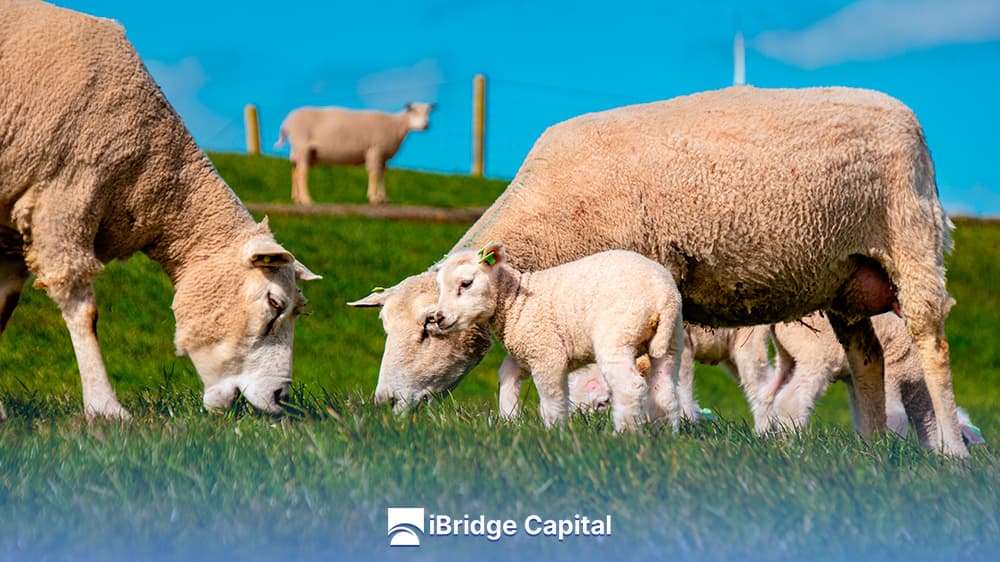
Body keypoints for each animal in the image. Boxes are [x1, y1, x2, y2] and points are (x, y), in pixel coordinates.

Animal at [0, 0, 320, 419]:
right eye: (274, 305)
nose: (280, 397)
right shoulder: (62, 196)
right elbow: (83, 309)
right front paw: (106, 408)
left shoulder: (11, 231)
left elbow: (3, 306)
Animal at [275, 102, 434, 205]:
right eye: (414, 111)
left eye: (428, 112)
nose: (426, 125)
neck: (396, 126)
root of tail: (286, 122)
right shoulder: (374, 150)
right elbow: (374, 173)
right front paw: (373, 198)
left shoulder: (382, 156)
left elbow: (382, 174)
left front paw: (384, 198)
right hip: (302, 145)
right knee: (302, 173)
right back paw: (306, 199)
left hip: (301, 150)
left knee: (295, 171)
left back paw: (296, 198)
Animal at [432, 242, 685, 431]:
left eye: (466, 283)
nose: (439, 318)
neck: (515, 301)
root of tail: (663, 294)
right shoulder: (528, 350)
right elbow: (507, 375)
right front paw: (510, 418)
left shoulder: (546, 352)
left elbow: (552, 399)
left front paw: (554, 432)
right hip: (671, 342)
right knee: (665, 393)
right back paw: (665, 435)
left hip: (617, 335)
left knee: (630, 388)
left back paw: (625, 434)